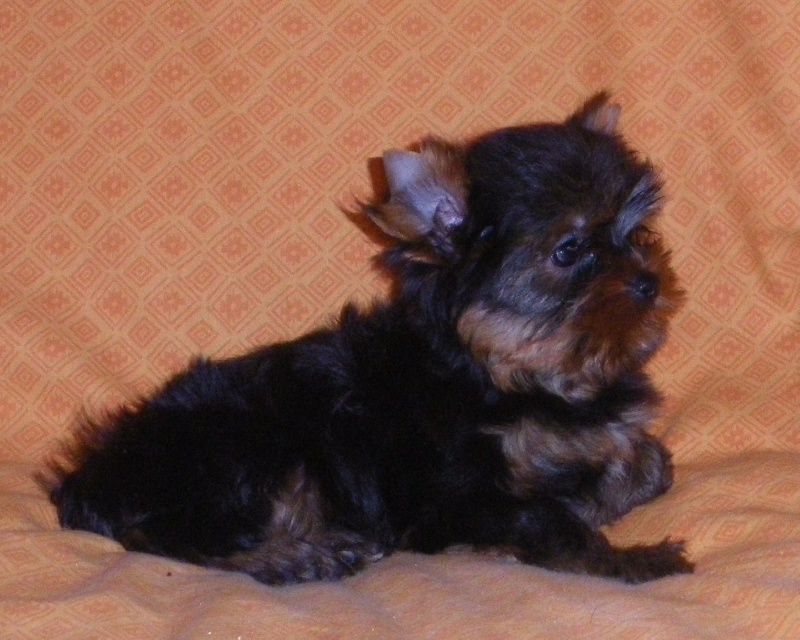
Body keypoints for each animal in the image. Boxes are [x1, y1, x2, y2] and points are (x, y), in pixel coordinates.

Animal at [47, 93, 693, 585]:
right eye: (569, 250)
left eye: (637, 232)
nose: (650, 281)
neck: (503, 371)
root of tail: (95, 474)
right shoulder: (453, 493)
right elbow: (549, 520)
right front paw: (633, 560)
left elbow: (647, 462)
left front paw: (600, 485)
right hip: (247, 448)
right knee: (166, 534)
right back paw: (298, 555)